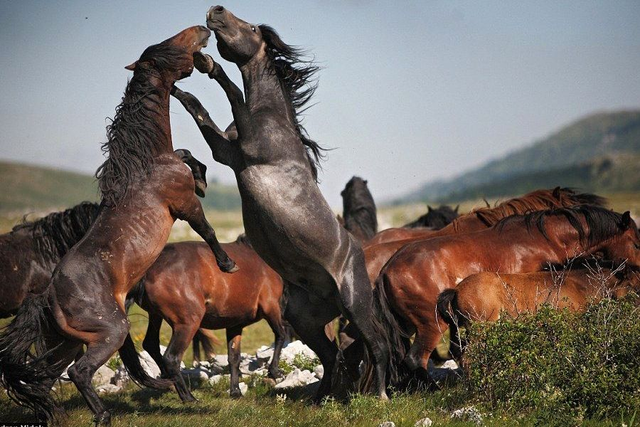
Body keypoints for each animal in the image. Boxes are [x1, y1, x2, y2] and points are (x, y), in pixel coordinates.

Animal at [0, 26, 238, 424]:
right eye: (167, 46)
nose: (202, 29)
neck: (147, 163)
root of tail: (47, 296)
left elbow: (188, 155)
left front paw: (203, 177)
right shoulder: (183, 205)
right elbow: (207, 228)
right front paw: (227, 263)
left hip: (68, 341)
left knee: (46, 378)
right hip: (110, 331)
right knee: (79, 372)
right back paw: (103, 415)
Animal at [130, 236, 284, 402]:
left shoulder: (235, 324)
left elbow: (234, 357)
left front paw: (235, 391)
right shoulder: (271, 306)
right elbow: (280, 335)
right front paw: (274, 371)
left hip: (155, 316)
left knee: (151, 343)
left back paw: (168, 381)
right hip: (187, 324)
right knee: (171, 358)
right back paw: (188, 397)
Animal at [170, 5, 400, 402]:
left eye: (249, 27)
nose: (215, 10)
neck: (271, 116)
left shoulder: (247, 148)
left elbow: (232, 91)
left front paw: (209, 65)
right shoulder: (227, 153)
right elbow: (197, 112)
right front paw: (177, 87)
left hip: (355, 306)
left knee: (378, 345)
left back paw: (381, 395)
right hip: (304, 319)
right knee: (332, 355)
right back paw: (318, 399)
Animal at [378, 206, 640, 386]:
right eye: (636, 244)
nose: (637, 273)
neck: (542, 239)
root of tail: (386, 270)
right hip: (432, 325)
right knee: (416, 359)